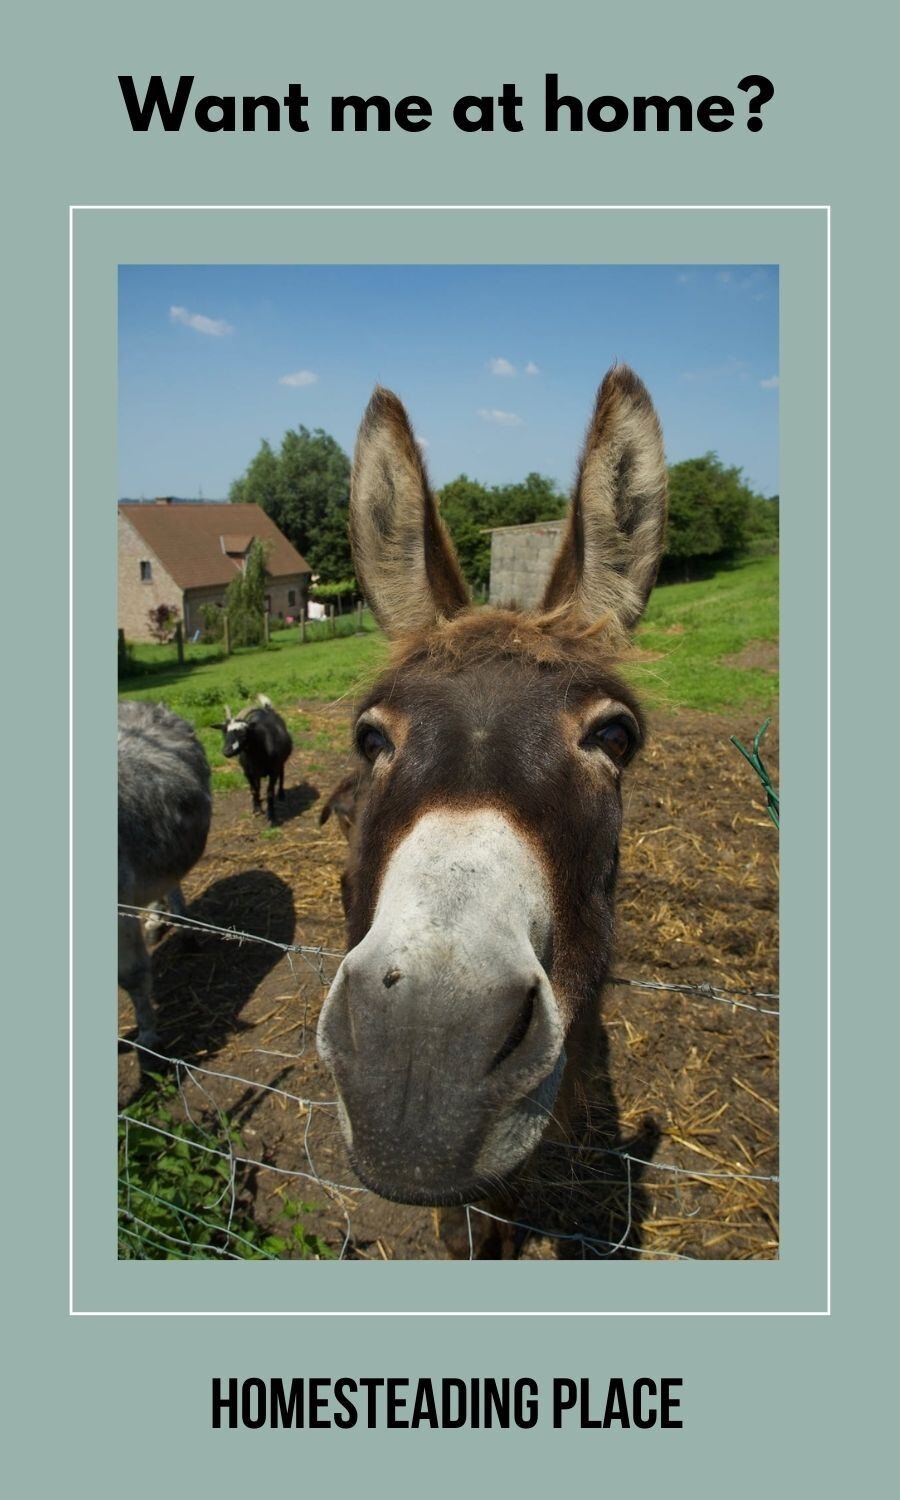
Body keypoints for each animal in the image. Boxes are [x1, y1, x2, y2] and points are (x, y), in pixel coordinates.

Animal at [214, 696, 292, 828]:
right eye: (224, 732)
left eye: (243, 733)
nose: (227, 751)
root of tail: (266, 708)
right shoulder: (247, 772)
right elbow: (254, 789)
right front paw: (256, 809)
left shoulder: (273, 771)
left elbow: (270, 793)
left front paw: (272, 818)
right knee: (258, 784)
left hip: (280, 763)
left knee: (282, 773)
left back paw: (281, 794)